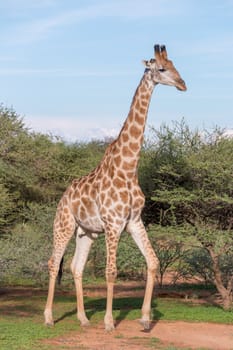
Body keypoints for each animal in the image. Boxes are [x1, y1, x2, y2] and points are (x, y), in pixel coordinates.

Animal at [44, 43, 187, 330]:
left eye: (175, 65)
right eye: (161, 69)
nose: (182, 84)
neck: (128, 168)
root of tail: (63, 197)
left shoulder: (133, 221)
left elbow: (153, 262)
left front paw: (145, 319)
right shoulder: (113, 223)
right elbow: (111, 272)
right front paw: (110, 322)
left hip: (86, 232)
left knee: (76, 266)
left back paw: (83, 318)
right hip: (64, 225)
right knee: (54, 263)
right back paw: (49, 317)